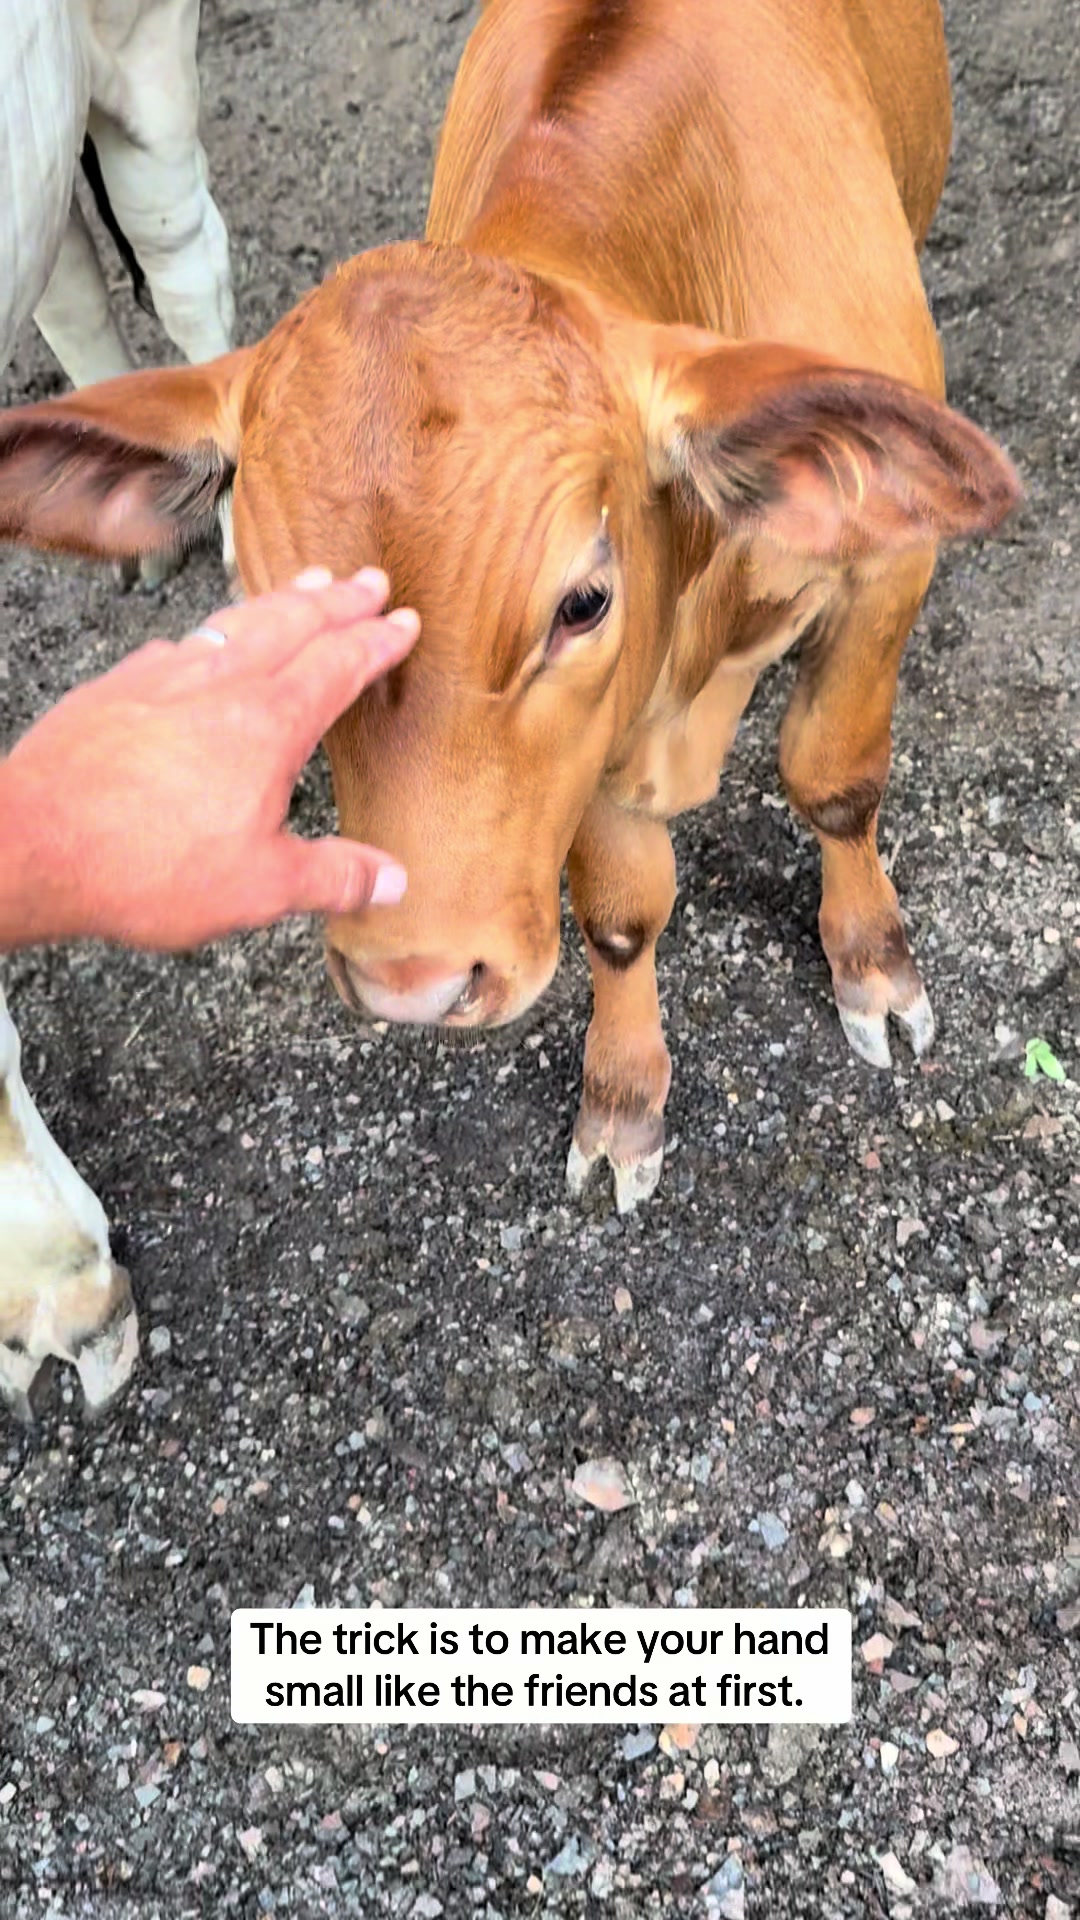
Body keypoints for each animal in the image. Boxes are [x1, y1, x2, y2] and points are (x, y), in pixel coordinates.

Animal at [0, 0, 1019, 1289]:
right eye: (267, 600)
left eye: (582, 602)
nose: (413, 981)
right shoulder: (588, 754)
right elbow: (623, 911)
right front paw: (623, 1101)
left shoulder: (888, 570)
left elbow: (834, 780)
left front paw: (873, 966)